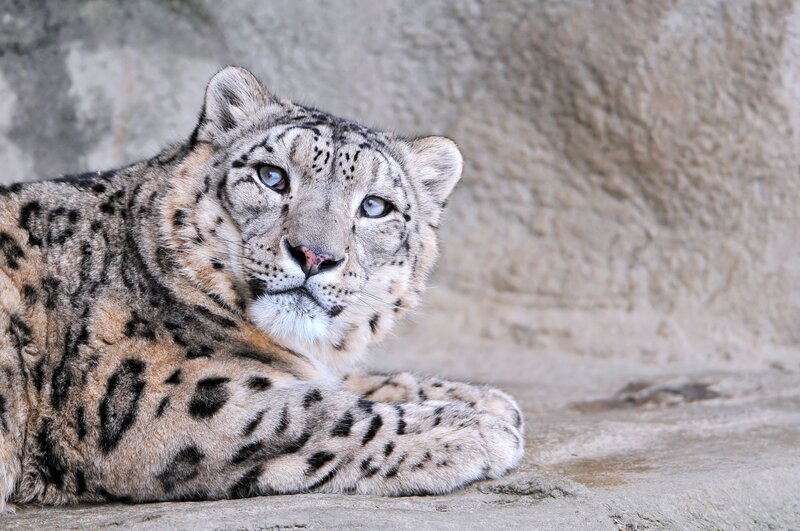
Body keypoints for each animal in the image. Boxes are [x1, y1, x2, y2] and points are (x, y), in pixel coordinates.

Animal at [0, 67, 523, 511]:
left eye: (375, 206)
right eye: (272, 176)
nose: (314, 255)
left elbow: (349, 382)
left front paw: (482, 399)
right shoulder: (158, 397)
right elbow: (315, 413)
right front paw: (473, 427)